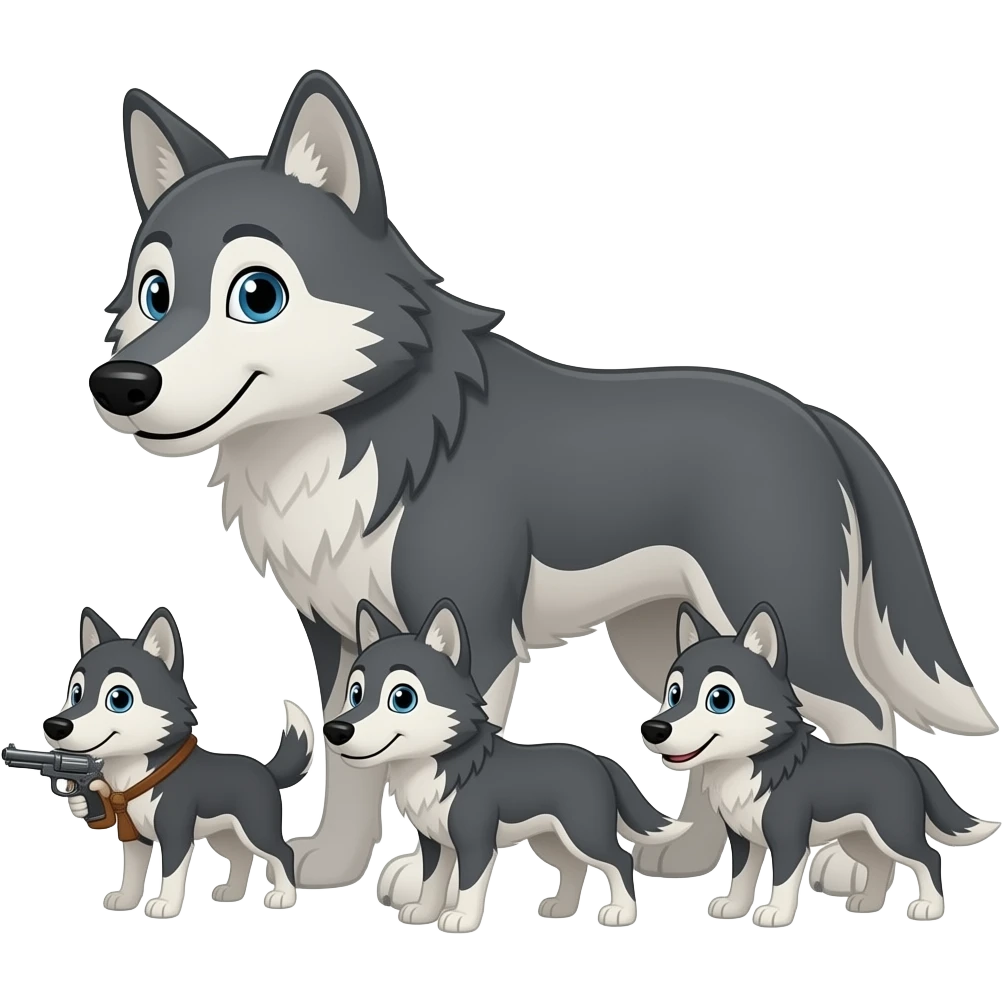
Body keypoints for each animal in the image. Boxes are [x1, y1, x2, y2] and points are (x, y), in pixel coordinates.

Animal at [45, 606, 315, 918]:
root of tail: (265, 769)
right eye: (75, 693)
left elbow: (171, 872)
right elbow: (133, 871)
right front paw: (126, 900)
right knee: (241, 856)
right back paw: (232, 893)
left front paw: (165, 905)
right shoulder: (135, 835)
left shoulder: (175, 834)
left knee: (282, 852)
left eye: (119, 699)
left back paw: (283, 897)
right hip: (224, 834)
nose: (55, 726)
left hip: (255, 829)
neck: (131, 772)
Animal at [323, 597, 688, 932]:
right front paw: (424, 913)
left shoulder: (475, 843)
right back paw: (561, 908)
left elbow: (468, 885)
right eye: (355, 694)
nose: (336, 731)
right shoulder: (434, 842)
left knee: (619, 860)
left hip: (583, 833)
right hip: (549, 839)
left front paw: (461, 920)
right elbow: (432, 881)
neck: (437, 766)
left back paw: (621, 914)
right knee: (574, 867)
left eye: (402, 698)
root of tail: (599, 759)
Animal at [641, 601, 1000, 927]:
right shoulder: (743, 838)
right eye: (674, 694)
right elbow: (741, 875)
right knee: (881, 863)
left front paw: (775, 914)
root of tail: (909, 762)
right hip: (860, 837)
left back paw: (929, 908)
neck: (747, 766)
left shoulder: (788, 838)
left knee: (929, 857)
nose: (653, 730)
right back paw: (868, 904)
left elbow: (783, 879)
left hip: (893, 831)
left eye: (719, 699)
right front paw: (733, 907)